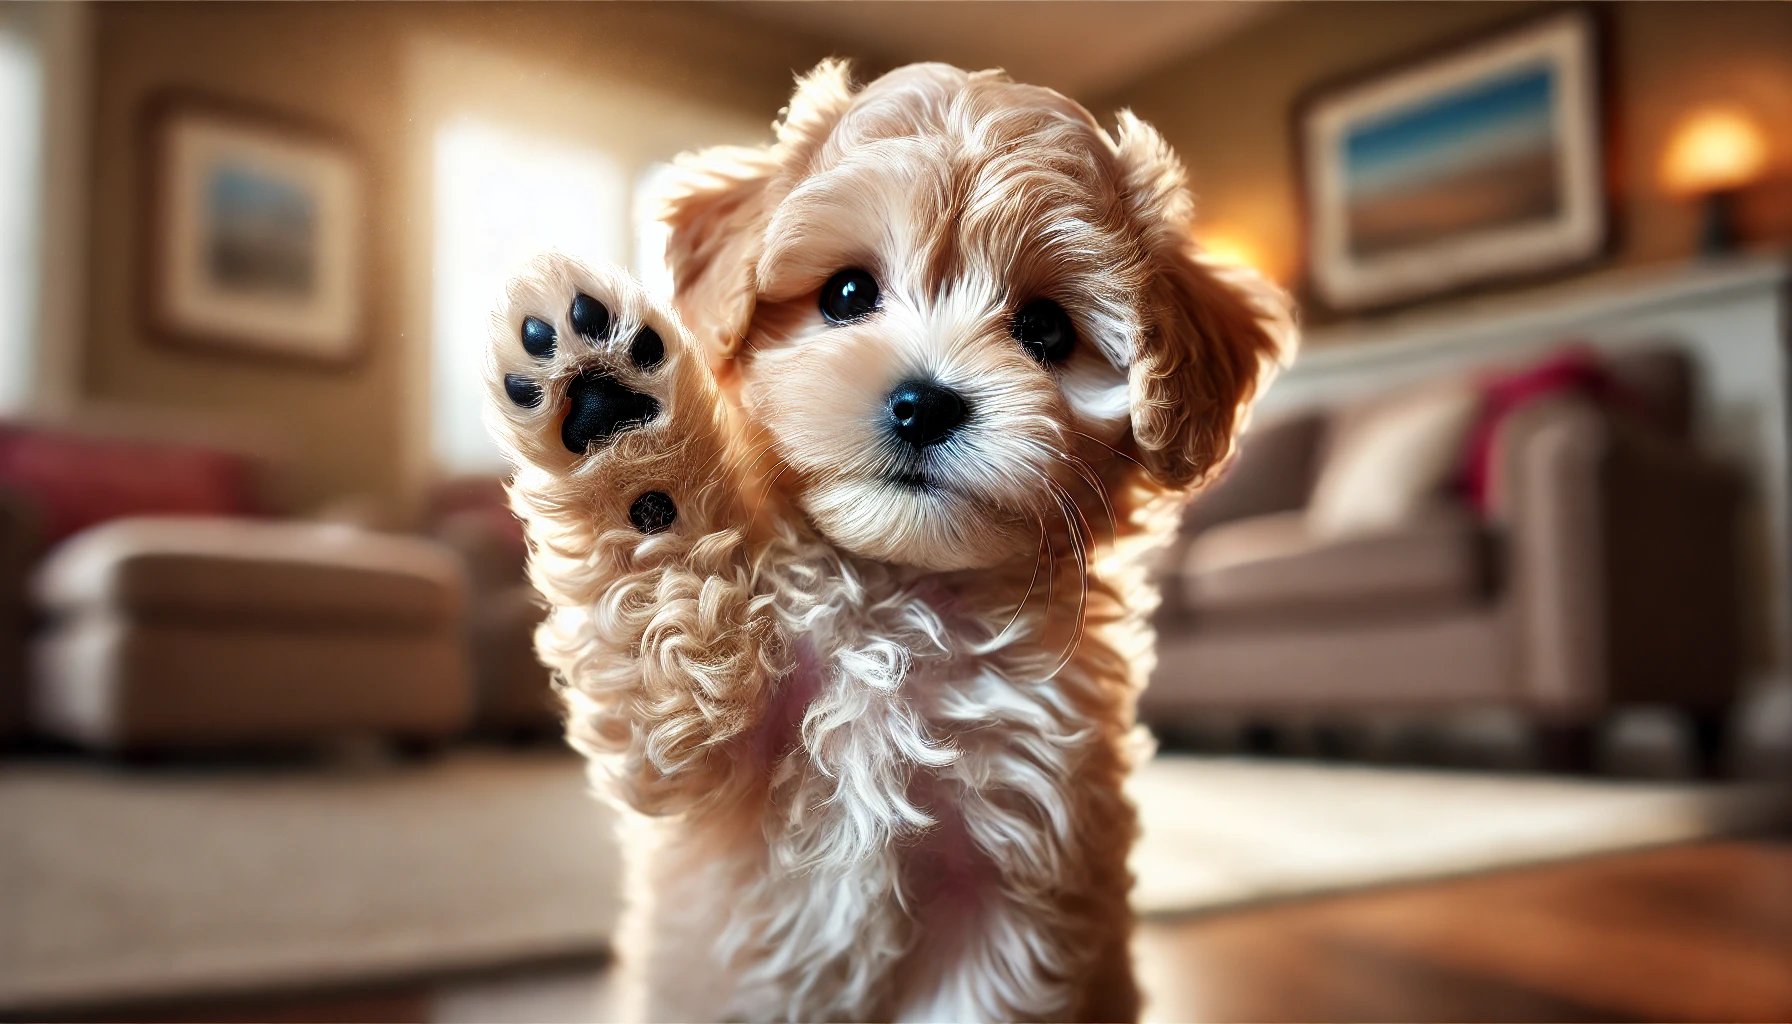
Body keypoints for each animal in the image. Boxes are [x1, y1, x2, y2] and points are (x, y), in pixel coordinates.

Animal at [483, 60, 1297, 1018]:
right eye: (846, 294)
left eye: (1046, 330)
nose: (926, 403)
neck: (899, 597)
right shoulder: (686, 761)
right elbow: (664, 641)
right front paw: (621, 436)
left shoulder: (1016, 877)